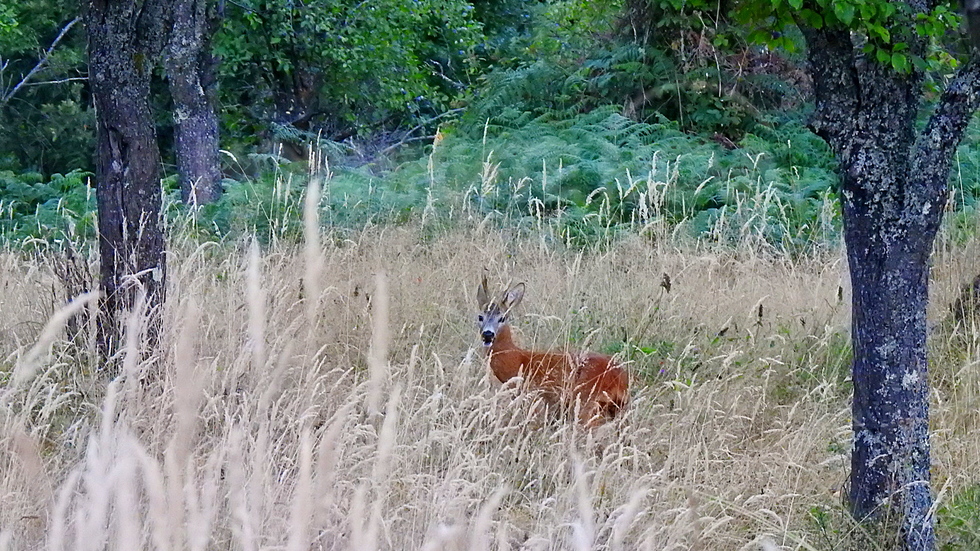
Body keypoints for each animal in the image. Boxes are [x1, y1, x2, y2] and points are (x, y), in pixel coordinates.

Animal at [478, 276, 632, 426]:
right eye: (480, 317)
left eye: (502, 318)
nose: (488, 334)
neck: (518, 359)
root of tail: (620, 379)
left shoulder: (537, 397)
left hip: (586, 400)